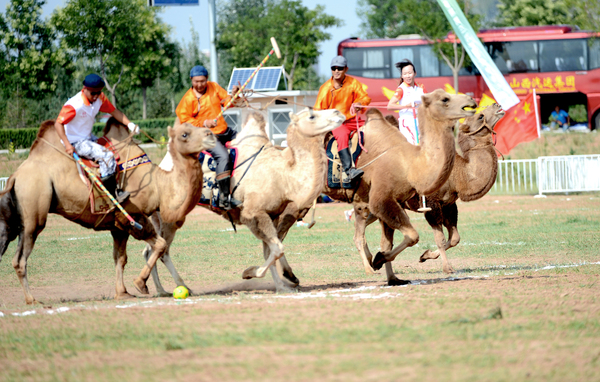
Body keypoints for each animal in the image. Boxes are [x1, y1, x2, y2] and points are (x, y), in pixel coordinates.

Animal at [0, 118, 216, 302]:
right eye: (185, 134)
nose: (211, 135)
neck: (158, 184)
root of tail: (15, 176)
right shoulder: (133, 216)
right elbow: (160, 245)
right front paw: (140, 284)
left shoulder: (117, 225)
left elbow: (120, 258)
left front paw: (123, 293)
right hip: (33, 213)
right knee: (20, 259)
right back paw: (32, 300)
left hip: (12, 219)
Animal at [144, 109, 346, 294]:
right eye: (312, 115)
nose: (338, 113)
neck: (284, 176)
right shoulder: (253, 214)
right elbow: (277, 249)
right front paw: (250, 273)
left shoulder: (271, 215)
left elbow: (270, 250)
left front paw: (281, 287)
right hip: (170, 216)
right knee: (163, 251)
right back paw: (183, 288)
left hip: (160, 216)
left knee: (151, 249)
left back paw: (157, 290)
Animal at [322, 89, 476, 286]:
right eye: (445, 99)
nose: (471, 100)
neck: (409, 165)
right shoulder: (381, 199)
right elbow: (412, 236)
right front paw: (378, 260)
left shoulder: (394, 201)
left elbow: (387, 243)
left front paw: (392, 276)